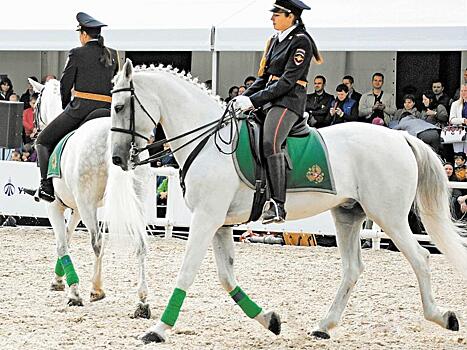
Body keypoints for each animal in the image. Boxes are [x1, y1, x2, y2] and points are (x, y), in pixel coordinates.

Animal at [28, 78, 152, 318]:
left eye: (36, 105)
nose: (33, 133)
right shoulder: (76, 209)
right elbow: (67, 238)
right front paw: (58, 280)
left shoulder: (56, 206)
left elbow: (62, 244)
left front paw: (73, 291)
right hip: (137, 201)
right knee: (140, 243)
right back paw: (141, 303)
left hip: (87, 205)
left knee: (97, 242)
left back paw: (95, 289)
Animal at [108, 59, 467, 342]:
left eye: (119, 107)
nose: (117, 158)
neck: (209, 140)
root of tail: (400, 136)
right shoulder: (220, 223)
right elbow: (226, 278)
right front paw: (270, 320)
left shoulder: (206, 219)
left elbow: (186, 272)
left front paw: (158, 330)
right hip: (348, 214)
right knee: (352, 268)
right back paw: (324, 326)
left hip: (389, 216)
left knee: (420, 257)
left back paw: (443, 317)